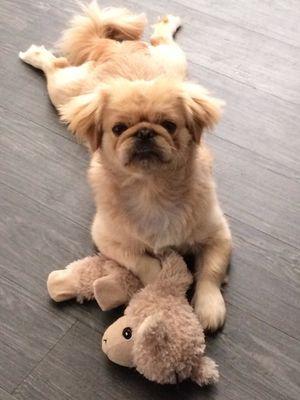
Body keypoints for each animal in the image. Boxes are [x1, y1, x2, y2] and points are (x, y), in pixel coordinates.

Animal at [19, 1, 232, 330]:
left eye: (169, 125)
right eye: (119, 129)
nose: (144, 132)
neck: (153, 189)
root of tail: (111, 47)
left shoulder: (219, 235)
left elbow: (210, 271)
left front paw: (209, 306)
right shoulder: (108, 239)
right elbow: (142, 261)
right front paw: (162, 281)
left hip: (175, 64)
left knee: (160, 39)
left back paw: (169, 21)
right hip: (65, 93)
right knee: (56, 66)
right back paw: (34, 55)